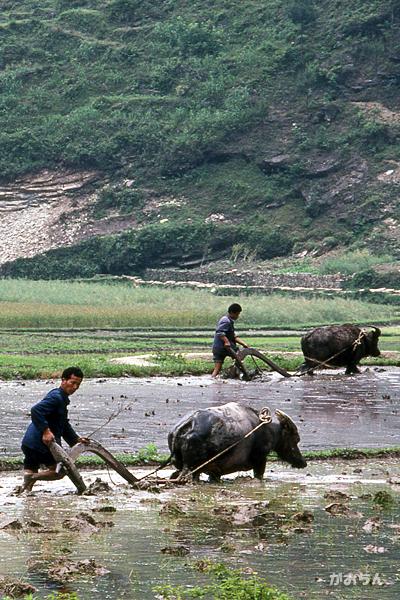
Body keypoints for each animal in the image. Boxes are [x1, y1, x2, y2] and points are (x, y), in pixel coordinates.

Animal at [167, 404, 304, 482]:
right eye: (296, 438)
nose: (303, 463)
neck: (268, 429)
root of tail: (187, 424)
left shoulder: (215, 472)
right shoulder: (260, 459)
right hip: (190, 468)